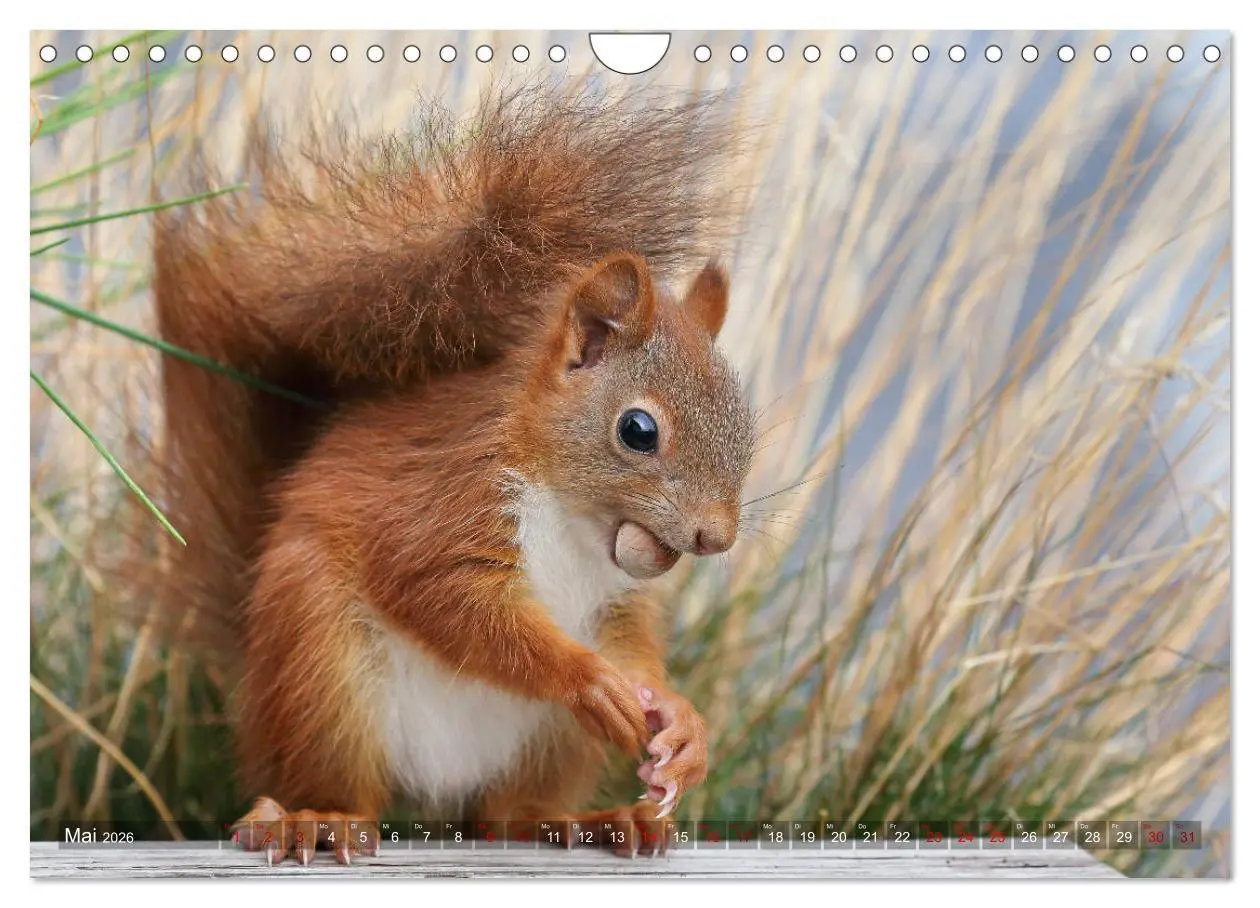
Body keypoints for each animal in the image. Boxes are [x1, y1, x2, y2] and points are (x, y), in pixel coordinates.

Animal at [150, 82, 756, 862]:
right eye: (638, 431)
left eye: (745, 421)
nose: (716, 537)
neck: (573, 517)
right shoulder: (447, 498)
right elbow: (446, 597)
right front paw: (589, 679)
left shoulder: (617, 599)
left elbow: (634, 647)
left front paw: (682, 723)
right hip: (322, 670)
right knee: (344, 788)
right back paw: (314, 819)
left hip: (547, 747)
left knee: (509, 814)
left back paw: (591, 820)